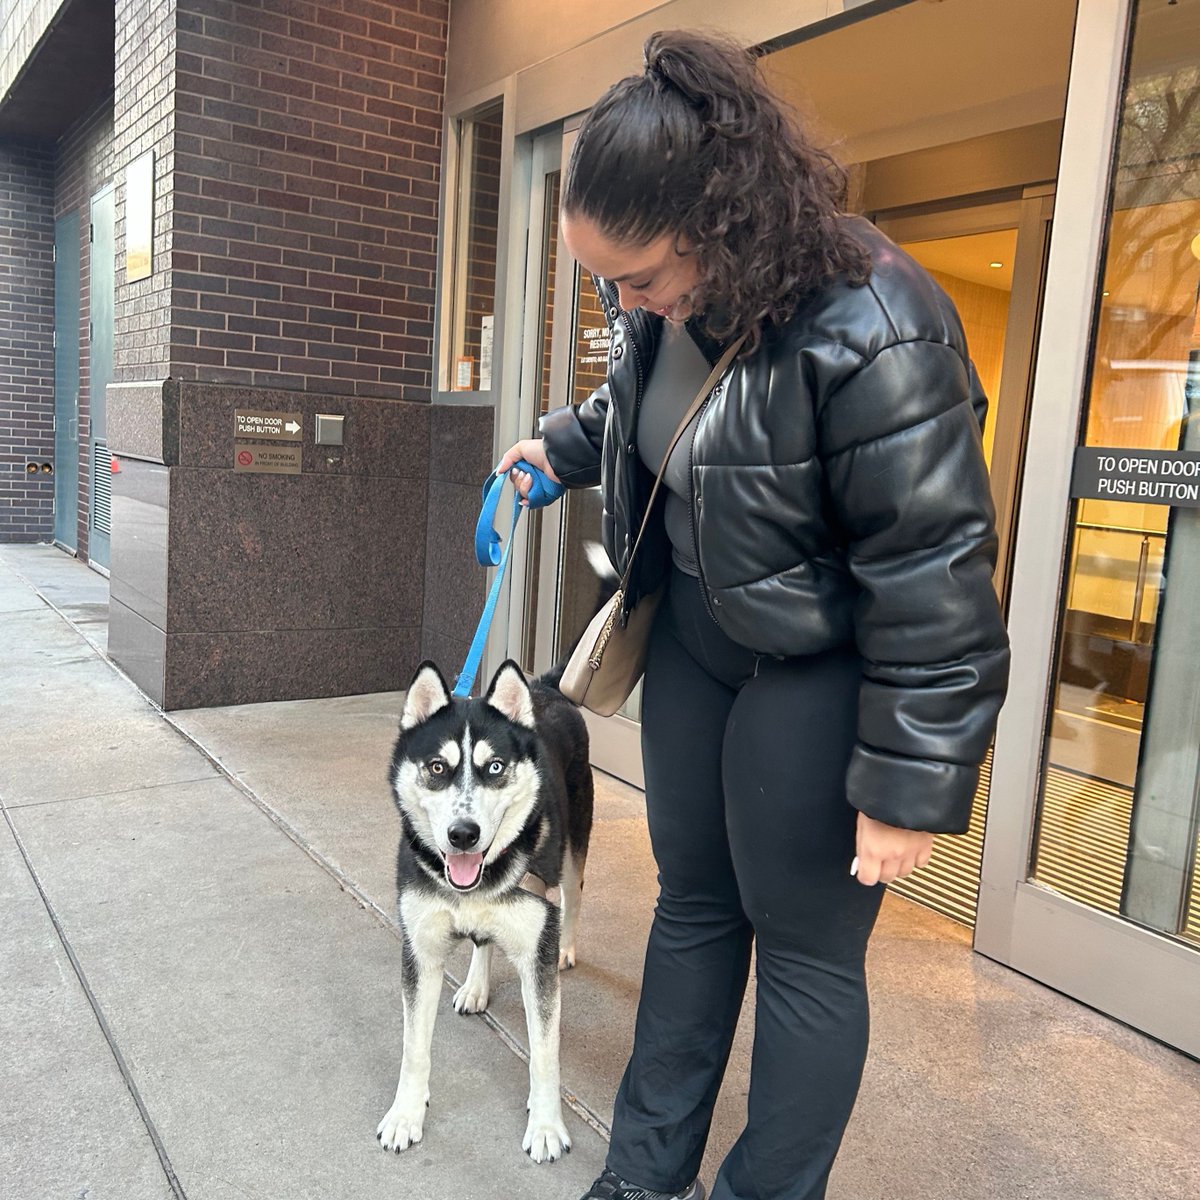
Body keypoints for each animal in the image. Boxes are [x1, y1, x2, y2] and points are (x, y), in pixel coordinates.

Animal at [376, 657, 592, 1161]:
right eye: (437, 767)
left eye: (494, 767)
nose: (463, 834)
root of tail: (545, 686)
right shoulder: (420, 953)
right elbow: (414, 1048)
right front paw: (406, 1114)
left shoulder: (536, 955)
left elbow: (545, 1054)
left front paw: (546, 1124)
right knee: (483, 940)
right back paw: (476, 986)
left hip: (573, 848)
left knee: (572, 895)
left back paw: (568, 945)